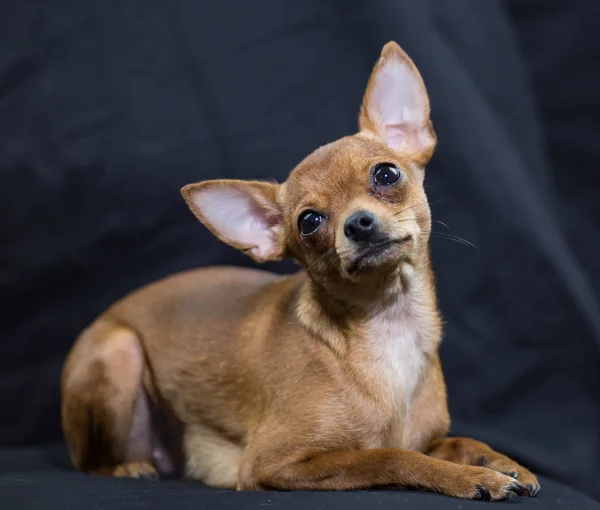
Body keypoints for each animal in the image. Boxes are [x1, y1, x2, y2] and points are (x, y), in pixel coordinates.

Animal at [61, 41, 540, 500]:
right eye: (309, 222)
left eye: (386, 174)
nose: (358, 223)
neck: (389, 325)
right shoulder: (273, 462)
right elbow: (390, 456)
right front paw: (469, 476)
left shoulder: (429, 436)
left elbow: (456, 441)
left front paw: (497, 460)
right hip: (119, 353)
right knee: (90, 462)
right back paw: (126, 467)